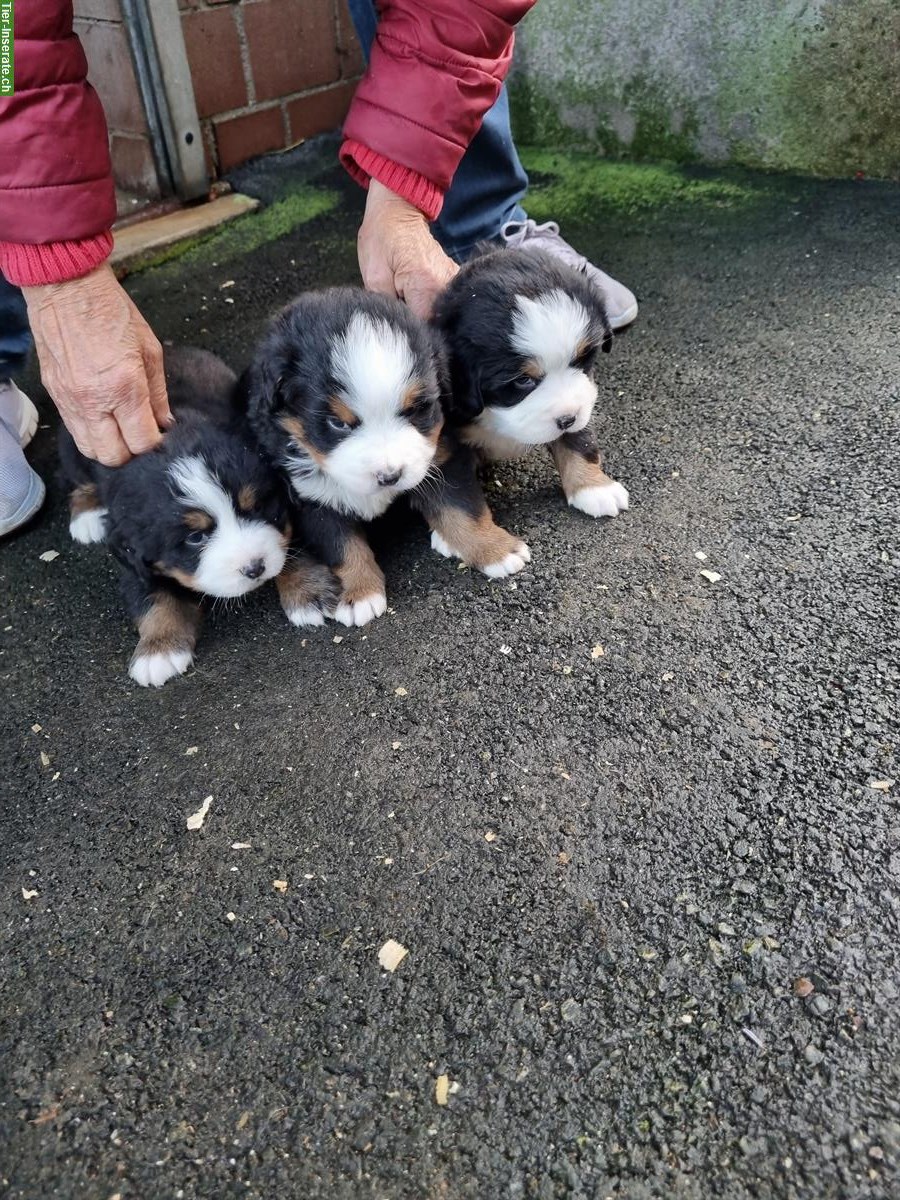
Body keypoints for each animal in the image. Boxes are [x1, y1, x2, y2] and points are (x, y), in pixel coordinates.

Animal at [59, 345, 336, 686]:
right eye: (195, 537)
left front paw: (308, 593)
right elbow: (153, 596)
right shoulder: (133, 553)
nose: (254, 568)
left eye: (257, 507)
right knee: (75, 478)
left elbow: (290, 546)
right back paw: (86, 514)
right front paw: (158, 651)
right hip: (79, 444)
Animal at [240, 291, 518, 628]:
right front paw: (360, 593)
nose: (389, 476)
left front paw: (496, 550)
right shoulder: (311, 496)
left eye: (414, 410)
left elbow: (462, 509)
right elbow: (342, 546)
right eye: (338, 423)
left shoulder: (440, 455)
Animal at [432, 244, 633, 571]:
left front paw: (594, 487)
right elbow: (456, 502)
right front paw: (492, 549)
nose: (566, 418)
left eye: (582, 359)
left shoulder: (582, 396)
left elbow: (579, 441)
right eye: (523, 380)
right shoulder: (439, 442)